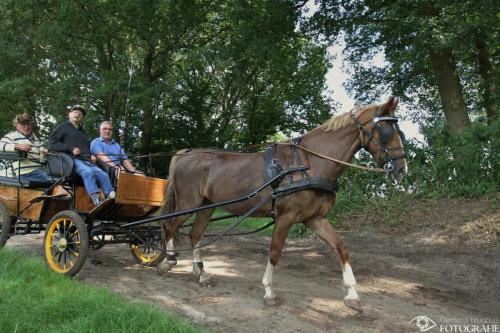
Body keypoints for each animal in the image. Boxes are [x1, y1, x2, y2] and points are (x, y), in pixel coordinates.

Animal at [156, 95, 406, 312]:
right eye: (386, 130)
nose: (401, 170)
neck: (309, 163)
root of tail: (186, 152)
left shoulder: (315, 219)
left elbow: (340, 248)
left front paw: (352, 295)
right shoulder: (286, 217)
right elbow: (275, 252)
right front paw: (268, 291)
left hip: (206, 207)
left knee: (195, 234)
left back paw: (201, 274)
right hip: (189, 203)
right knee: (168, 225)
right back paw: (168, 261)